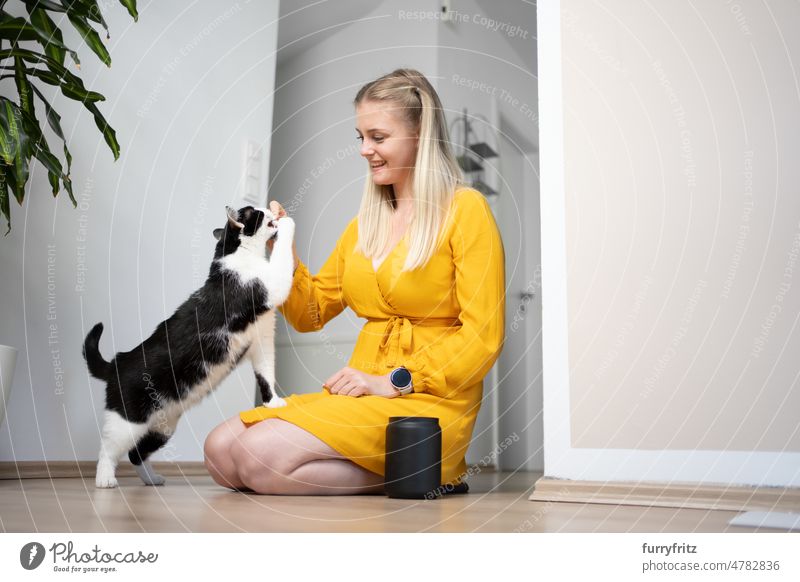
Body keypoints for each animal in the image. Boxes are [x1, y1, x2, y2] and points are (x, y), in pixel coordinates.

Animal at [83, 205, 296, 488]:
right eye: (254, 212)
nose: (264, 208)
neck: (238, 257)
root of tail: (117, 362)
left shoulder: (260, 339)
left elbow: (266, 374)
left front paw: (272, 403)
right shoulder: (269, 283)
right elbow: (282, 260)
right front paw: (288, 223)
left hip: (163, 426)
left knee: (136, 453)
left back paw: (152, 479)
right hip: (128, 420)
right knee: (108, 449)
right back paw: (105, 479)